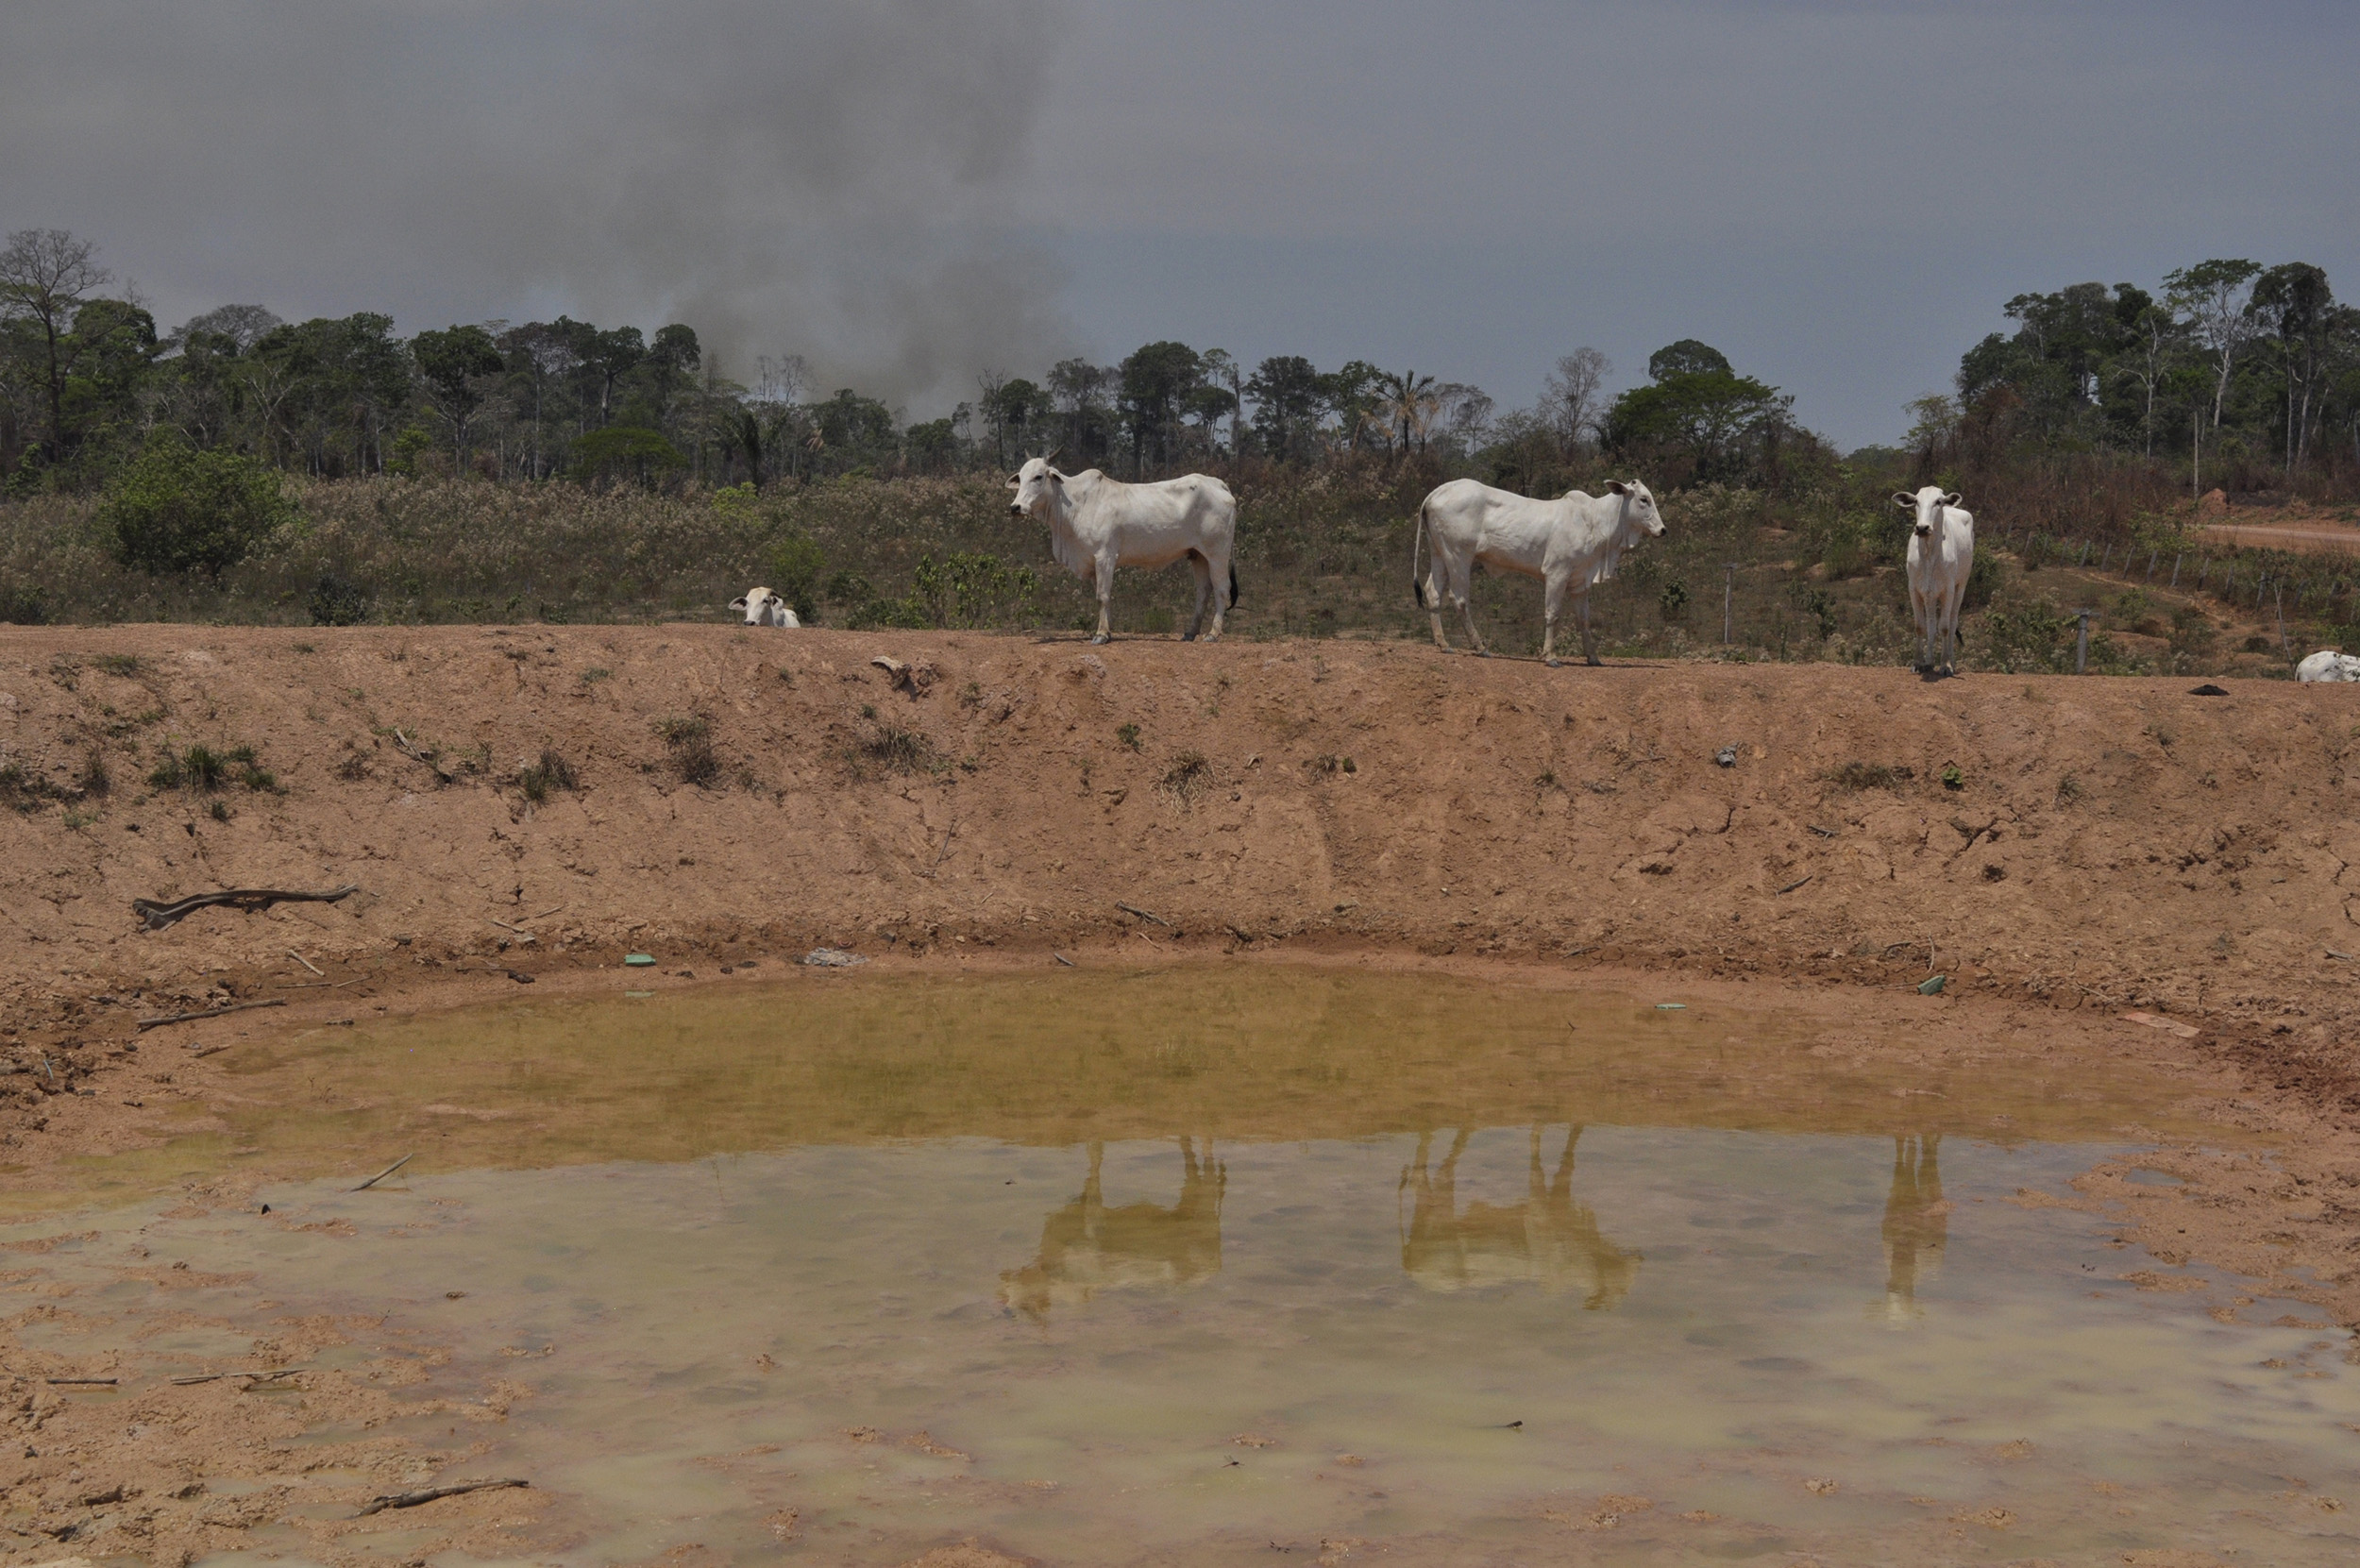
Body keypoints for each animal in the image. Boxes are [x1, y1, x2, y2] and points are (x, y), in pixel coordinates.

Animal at [1005, 453, 1246, 642]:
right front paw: (1108, 631)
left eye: (1038, 477)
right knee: (1203, 591)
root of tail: (1217, 484)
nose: (1016, 507)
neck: (1075, 504)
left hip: (1217, 554)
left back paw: (1213, 634)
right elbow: (1102, 595)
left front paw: (1101, 635)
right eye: (1021, 477)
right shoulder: (1094, 562)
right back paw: (1190, 632)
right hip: (1198, 555)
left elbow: (1102, 595)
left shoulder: (1105, 556)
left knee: (1222, 589)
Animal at [1407, 474, 1671, 666]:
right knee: (1459, 598)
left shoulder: (1579, 583)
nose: (1663, 530)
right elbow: (1552, 614)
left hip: (1439, 553)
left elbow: (1583, 620)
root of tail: (1438, 491)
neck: (1595, 521)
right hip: (1458, 556)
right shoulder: (1556, 574)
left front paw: (1593, 657)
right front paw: (1550, 657)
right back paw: (1480, 647)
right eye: (1644, 499)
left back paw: (1443, 643)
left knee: (1433, 593)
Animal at [1897, 486, 1973, 675]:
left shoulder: (1948, 590)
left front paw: (1945, 665)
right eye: (1916, 501)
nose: (1922, 528)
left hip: (1961, 585)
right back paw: (1929, 662)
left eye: (1938, 501)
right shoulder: (1915, 589)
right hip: (1930, 595)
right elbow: (1921, 626)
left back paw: (1951, 662)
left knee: (1952, 622)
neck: (1929, 554)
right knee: (1931, 623)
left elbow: (1944, 627)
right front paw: (1918, 662)